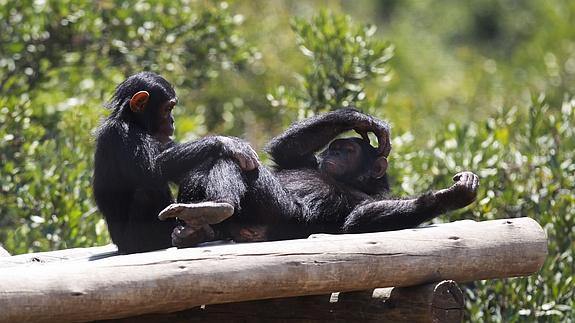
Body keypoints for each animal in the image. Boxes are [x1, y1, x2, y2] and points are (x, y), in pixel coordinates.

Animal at [93, 72, 258, 254]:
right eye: (167, 109)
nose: (172, 120)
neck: (135, 122)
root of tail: (120, 246)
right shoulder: (121, 133)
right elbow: (152, 170)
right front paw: (229, 144)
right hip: (135, 240)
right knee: (148, 191)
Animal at [160, 107, 480, 247]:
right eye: (336, 147)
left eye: (348, 150)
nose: (334, 152)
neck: (351, 181)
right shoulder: (307, 161)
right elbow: (285, 151)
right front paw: (364, 120)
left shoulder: (368, 199)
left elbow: (358, 219)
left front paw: (450, 195)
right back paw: (196, 228)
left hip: (276, 212)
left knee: (239, 164)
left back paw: (213, 208)